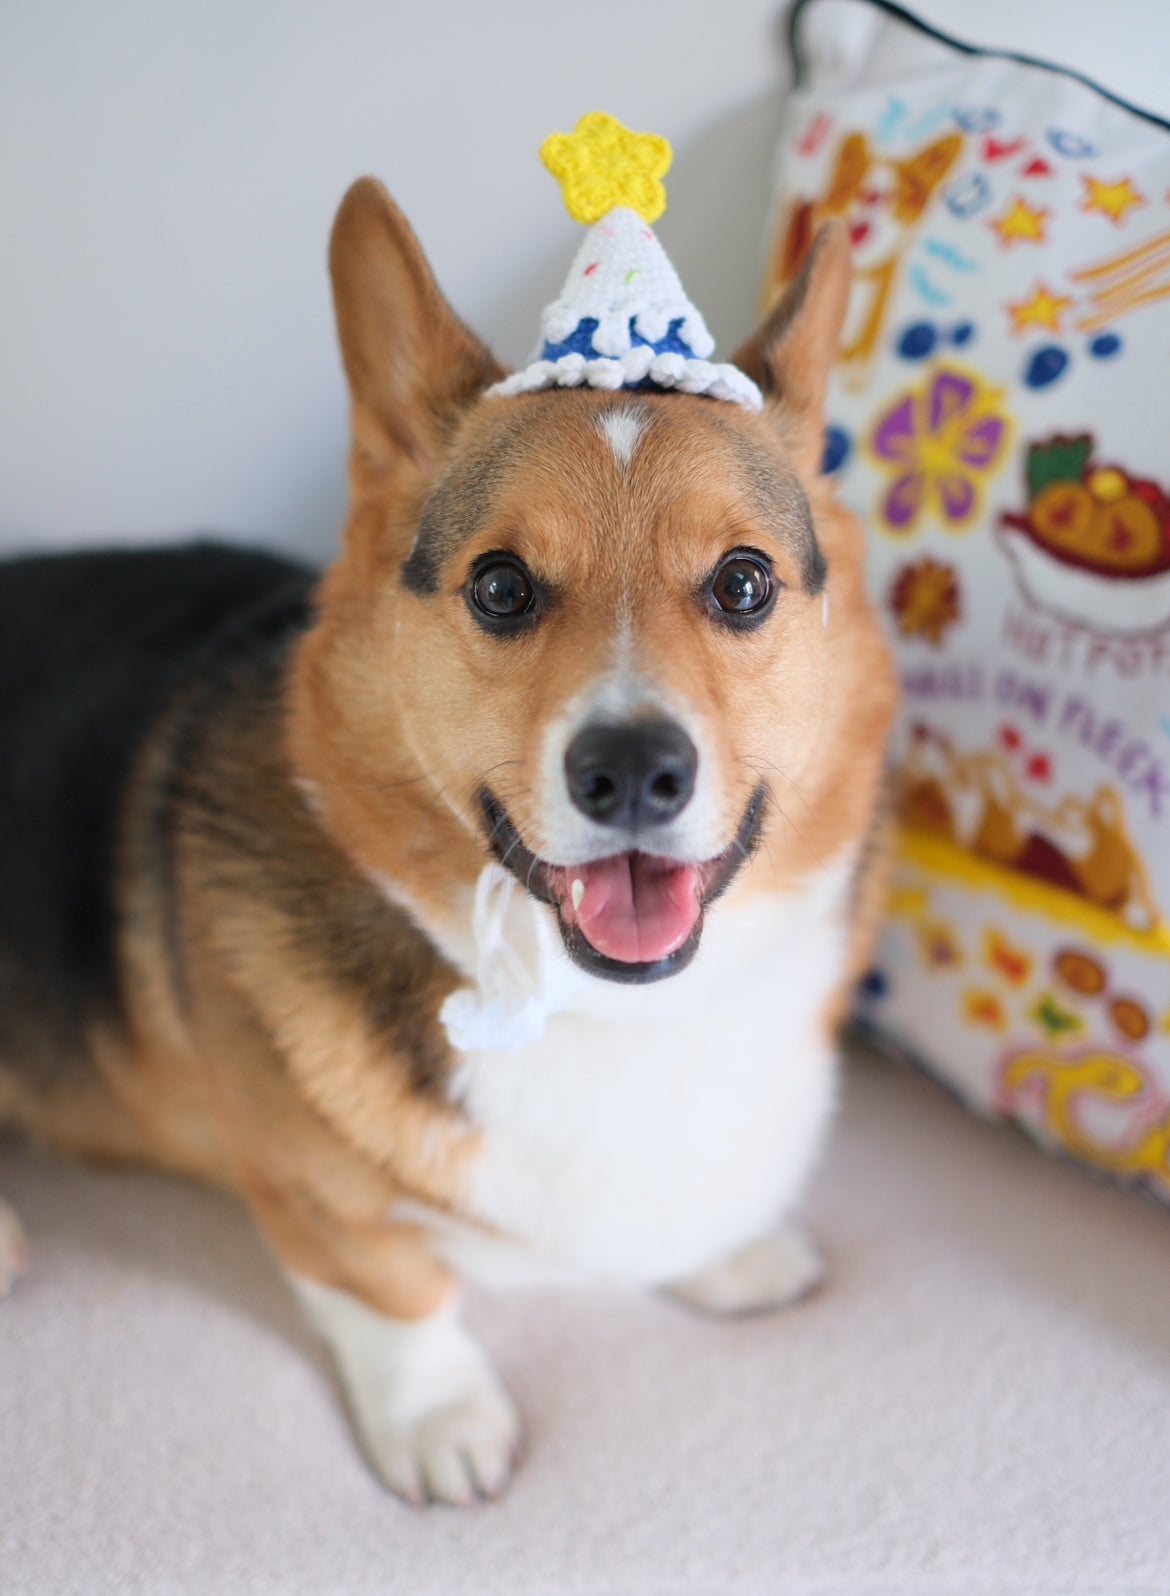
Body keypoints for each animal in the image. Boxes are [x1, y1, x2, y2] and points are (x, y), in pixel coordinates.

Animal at [0, 177, 887, 1506]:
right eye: (502, 587)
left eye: (742, 584)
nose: (633, 770)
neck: (598, 1012)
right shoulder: (310, 1198)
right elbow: (396, 1292)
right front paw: (443, 1421)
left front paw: (731, 1254)